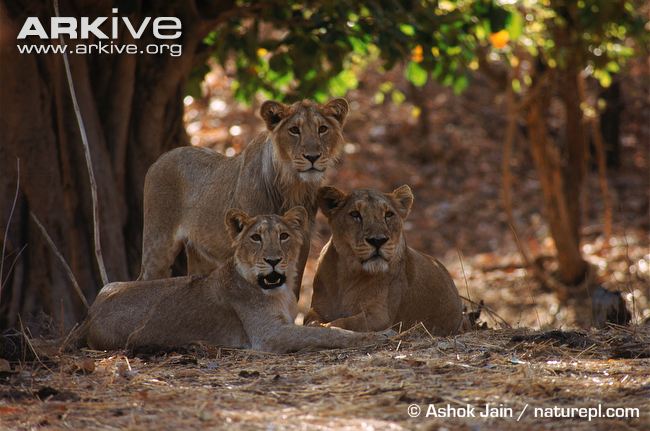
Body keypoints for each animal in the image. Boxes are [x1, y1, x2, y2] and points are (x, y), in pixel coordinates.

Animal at [78, 207, 389, 353]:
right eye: (256, 238)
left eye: (283, 236)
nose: (273, 260)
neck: (278, 290)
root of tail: (91, 313)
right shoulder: (268, 335)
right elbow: (326, 333)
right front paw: (376, 336)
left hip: (112, 285)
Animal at [139, 98, 349, 299]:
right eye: (294, 130)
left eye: (322, 129)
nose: (313, 157)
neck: (292, 185)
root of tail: (159, 159)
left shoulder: (300, 242)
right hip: (158, 243)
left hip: (200, 253)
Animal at [304, 186, 465, 335]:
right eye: (355, 214)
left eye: (388, 214)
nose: (377, 240)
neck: (348, 275)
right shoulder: (317, 307)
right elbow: (310, 318)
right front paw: (316, 324)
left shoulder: (380, 317)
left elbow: (347, 321)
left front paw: (326, 326)